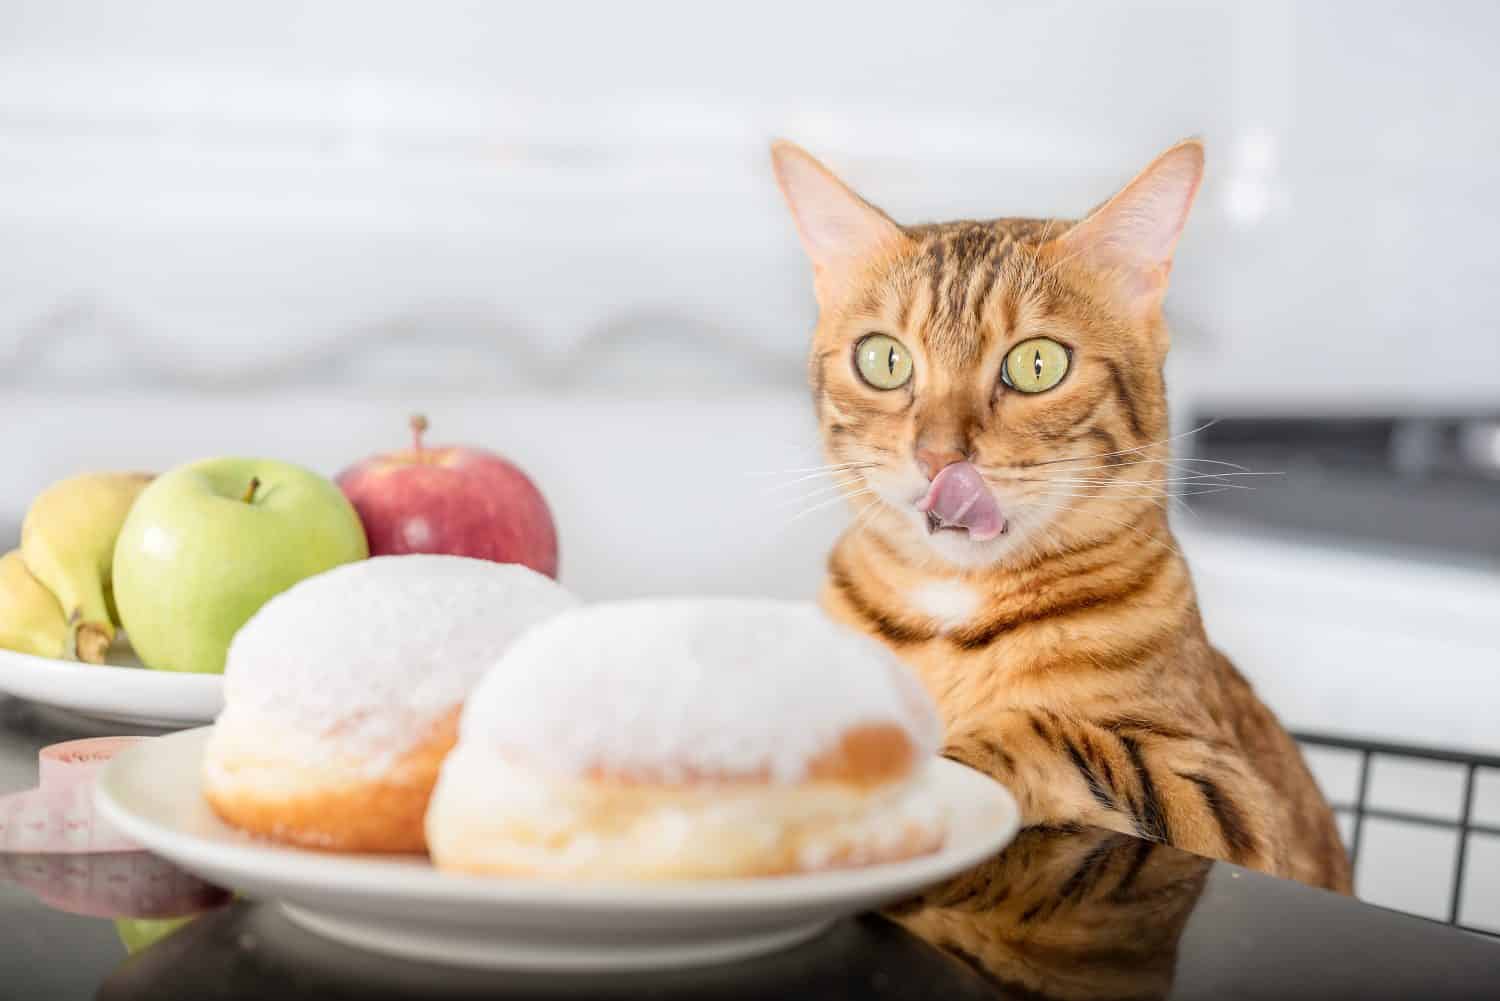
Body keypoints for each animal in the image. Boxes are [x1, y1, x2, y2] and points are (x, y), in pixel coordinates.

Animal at [774, 135, 1350, 894]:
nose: (938, 456)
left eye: (1038, 363)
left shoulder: (1234, 800)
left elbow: (1056, 734)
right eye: (884, 359)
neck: (951, 615)